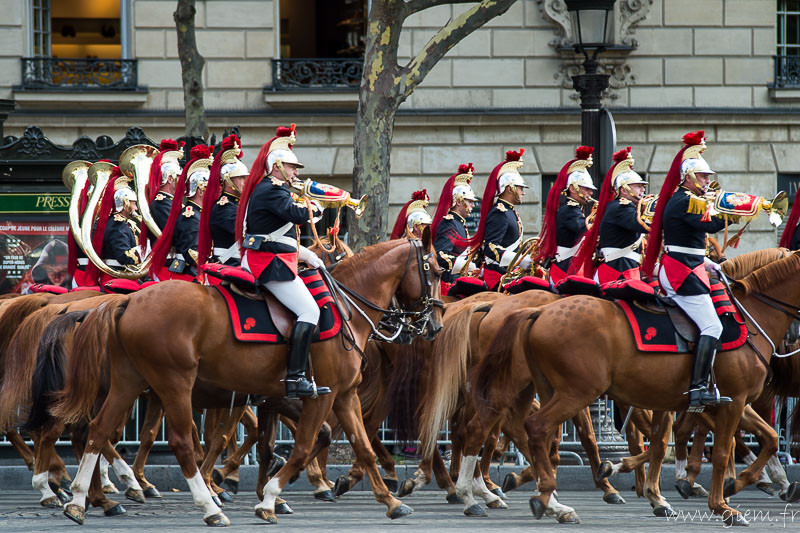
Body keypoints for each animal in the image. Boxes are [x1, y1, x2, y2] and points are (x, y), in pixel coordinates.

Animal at [48, 235, 444, 524]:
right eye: (438, 269)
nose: (435, 326)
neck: (345, 307)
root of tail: (125, 302)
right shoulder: (319, 396)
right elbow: (301, 446)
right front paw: (269, 498)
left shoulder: (341, 395)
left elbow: (360, 446)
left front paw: (390, 501)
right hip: (173, 384)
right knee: (177, 442)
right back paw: (205, 505)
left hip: (128, 383)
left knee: (98, 431)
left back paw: (81, 501)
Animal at [488, 249, 800, 524]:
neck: (750, 318)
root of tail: (540, 312)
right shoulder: (732, 400)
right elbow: (722, 450)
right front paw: (723, 504)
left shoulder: (702, 401)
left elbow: (767, 437)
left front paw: (657, 492)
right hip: (577, 393)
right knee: (536, 427)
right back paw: (542, 496)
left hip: (551, 390)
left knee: (538, 435)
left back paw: (547, 495)